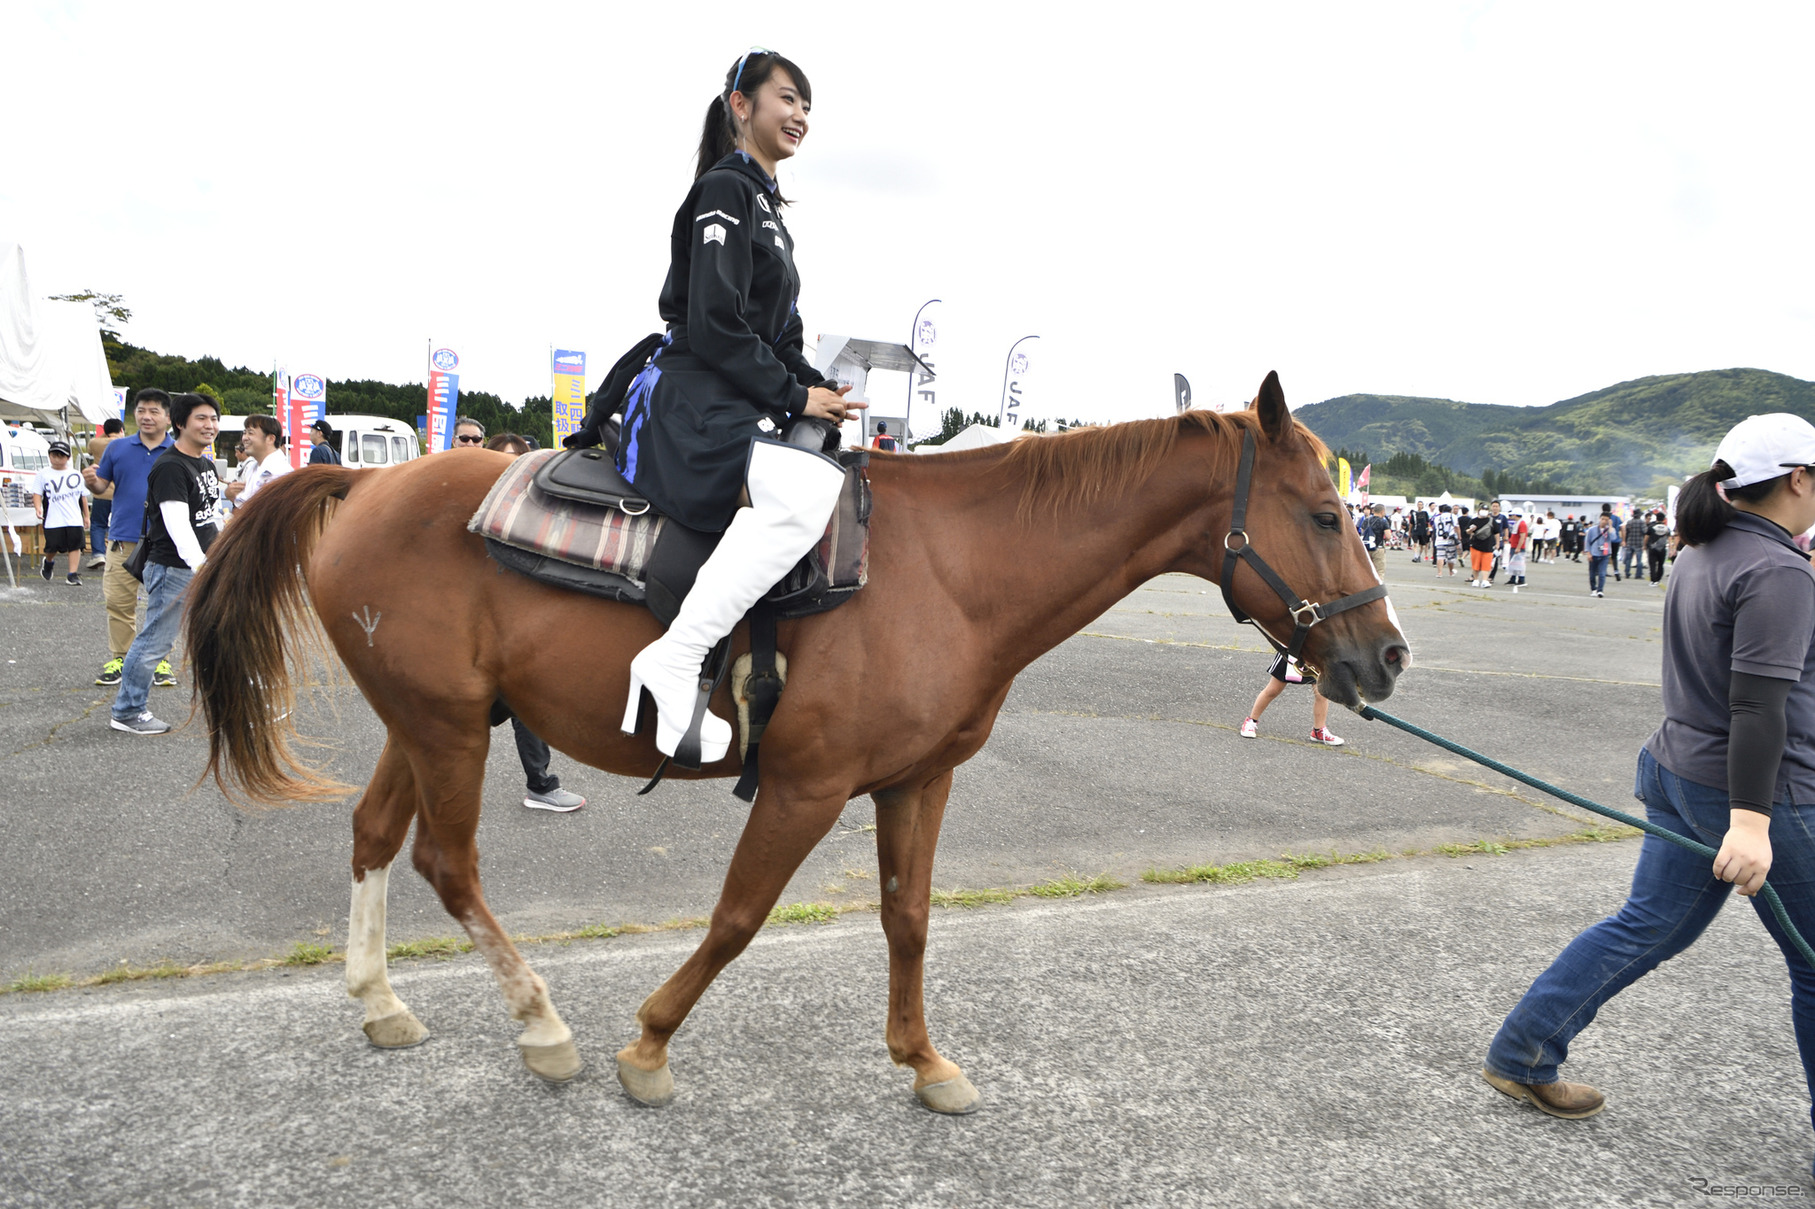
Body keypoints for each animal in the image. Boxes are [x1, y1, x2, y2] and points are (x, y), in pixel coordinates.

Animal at [184, 370, 1408, 1110]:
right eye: (1326, 515)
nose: (1387, 655)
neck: (949, 571)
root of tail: (364, 483)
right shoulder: (806, 787)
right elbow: (736, 918)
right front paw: (648, 1044)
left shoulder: (917, 782)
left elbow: (908, 921)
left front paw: (924, 1060)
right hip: (447, 730)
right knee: (446, 861)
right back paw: (542, 1025)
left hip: (432, 720)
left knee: (374, 836)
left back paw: (381, 1002)